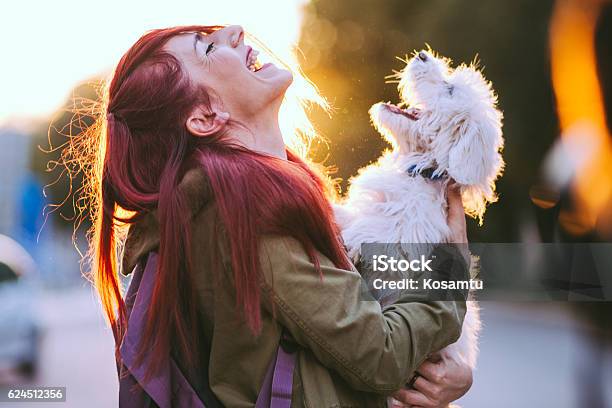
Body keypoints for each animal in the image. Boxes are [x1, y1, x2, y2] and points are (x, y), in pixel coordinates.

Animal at [334, 49, 502, 378]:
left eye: (449, 90)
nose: (423, 55)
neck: (419, 170)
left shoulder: (406, 246)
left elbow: (375, 232)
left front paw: (350, 238)